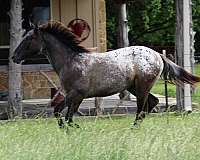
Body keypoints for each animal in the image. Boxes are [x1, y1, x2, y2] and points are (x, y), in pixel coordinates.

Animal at [12, 21, 200, 128]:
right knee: (150, 104)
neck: (71, 61)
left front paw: (73, 130)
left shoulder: (77, 95)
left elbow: (66, 116)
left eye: (29, 38)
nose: (14, 57)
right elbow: (61, 113)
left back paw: (133, 130)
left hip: (142, 87)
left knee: (142, 109)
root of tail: (157, 55)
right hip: (133, 87)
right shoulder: (70, 95)